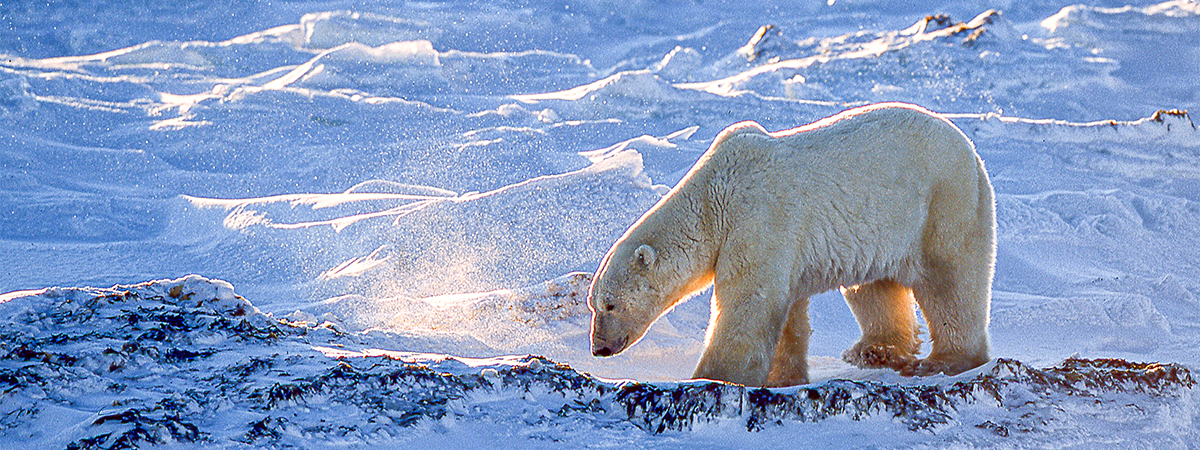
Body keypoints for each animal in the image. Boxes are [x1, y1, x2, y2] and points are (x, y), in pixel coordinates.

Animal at [588, 102, 993, 388]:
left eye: (610, 304)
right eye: (593, 305)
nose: (599, 348)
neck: (713, 200)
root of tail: (972, 151)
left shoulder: (758, 220)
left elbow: (748, 304)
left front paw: (711, 377)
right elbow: (786, 314)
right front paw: (783, 378)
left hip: (943, 204)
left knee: (950, 284)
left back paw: (946, 360)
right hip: (884, 225)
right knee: (874, 287)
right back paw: (874, 350)